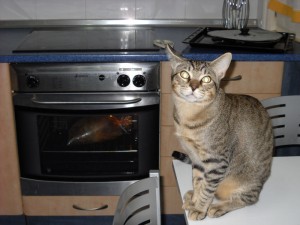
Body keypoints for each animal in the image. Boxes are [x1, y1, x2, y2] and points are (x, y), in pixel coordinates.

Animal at [166, 44, 274, 221]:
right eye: (184, 75)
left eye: (206, 79)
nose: (193, 86)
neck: (189, 115)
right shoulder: (197, 159)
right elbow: (198, 182)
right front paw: (194, 200)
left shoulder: (216, 161)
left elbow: (207, 189)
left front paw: (200, 208)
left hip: (247, 182)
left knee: (248, 199)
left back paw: (218, 207)